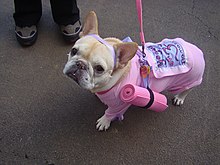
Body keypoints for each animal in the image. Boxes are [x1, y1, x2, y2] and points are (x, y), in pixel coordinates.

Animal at [62, 10, 205, 131]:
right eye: (74, 50)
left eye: (99, 68)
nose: (80, 64)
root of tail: (196, 49)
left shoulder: (119, 105)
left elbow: (110, 113)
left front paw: (104, 121)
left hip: (189, 80)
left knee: (187, 89)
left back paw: (180, 98)